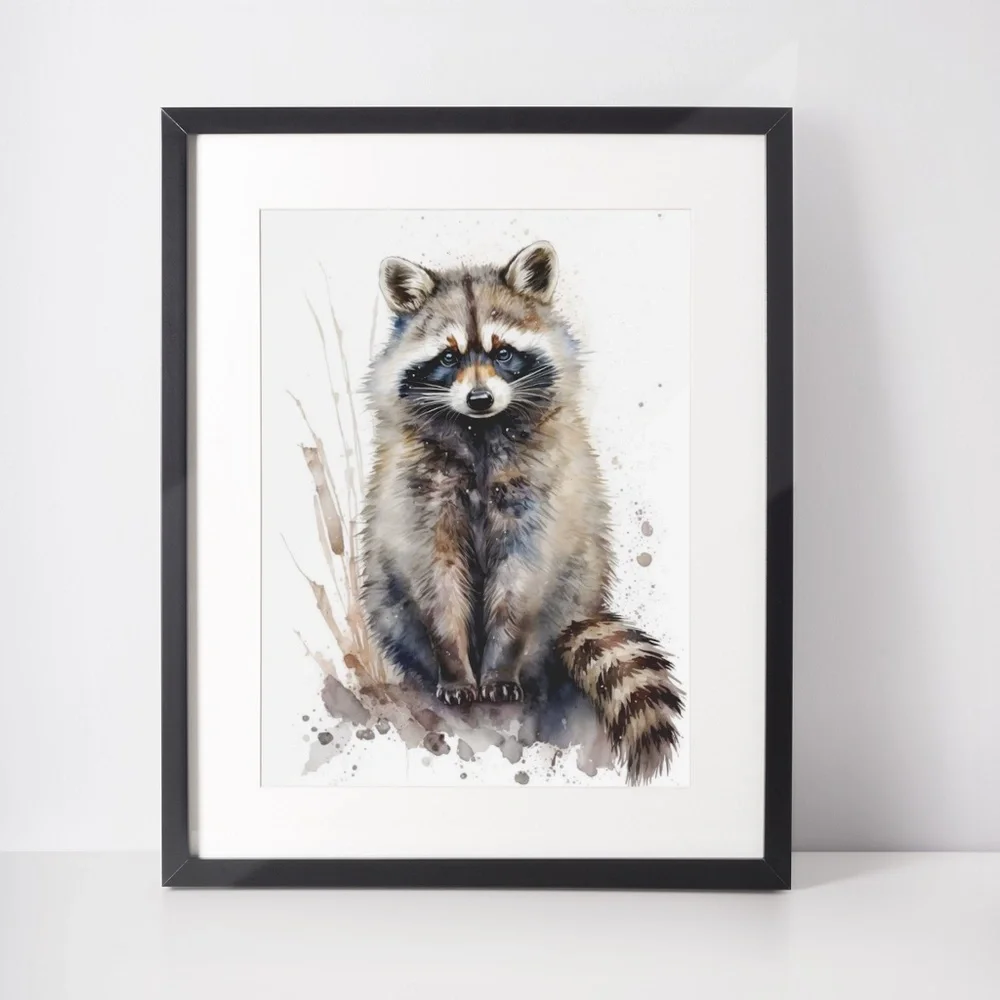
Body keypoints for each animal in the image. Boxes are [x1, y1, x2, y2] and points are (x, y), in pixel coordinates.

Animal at [360, 241, 684, 783]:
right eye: (448, 357)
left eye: (503, 352)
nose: (479, 398)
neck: (478, 431)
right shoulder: (421, 493)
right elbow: (436, 578)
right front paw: (454, 668)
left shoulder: (539, 491)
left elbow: (520, 579)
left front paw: (500, 668)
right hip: (385, 597)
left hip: (573, 588)